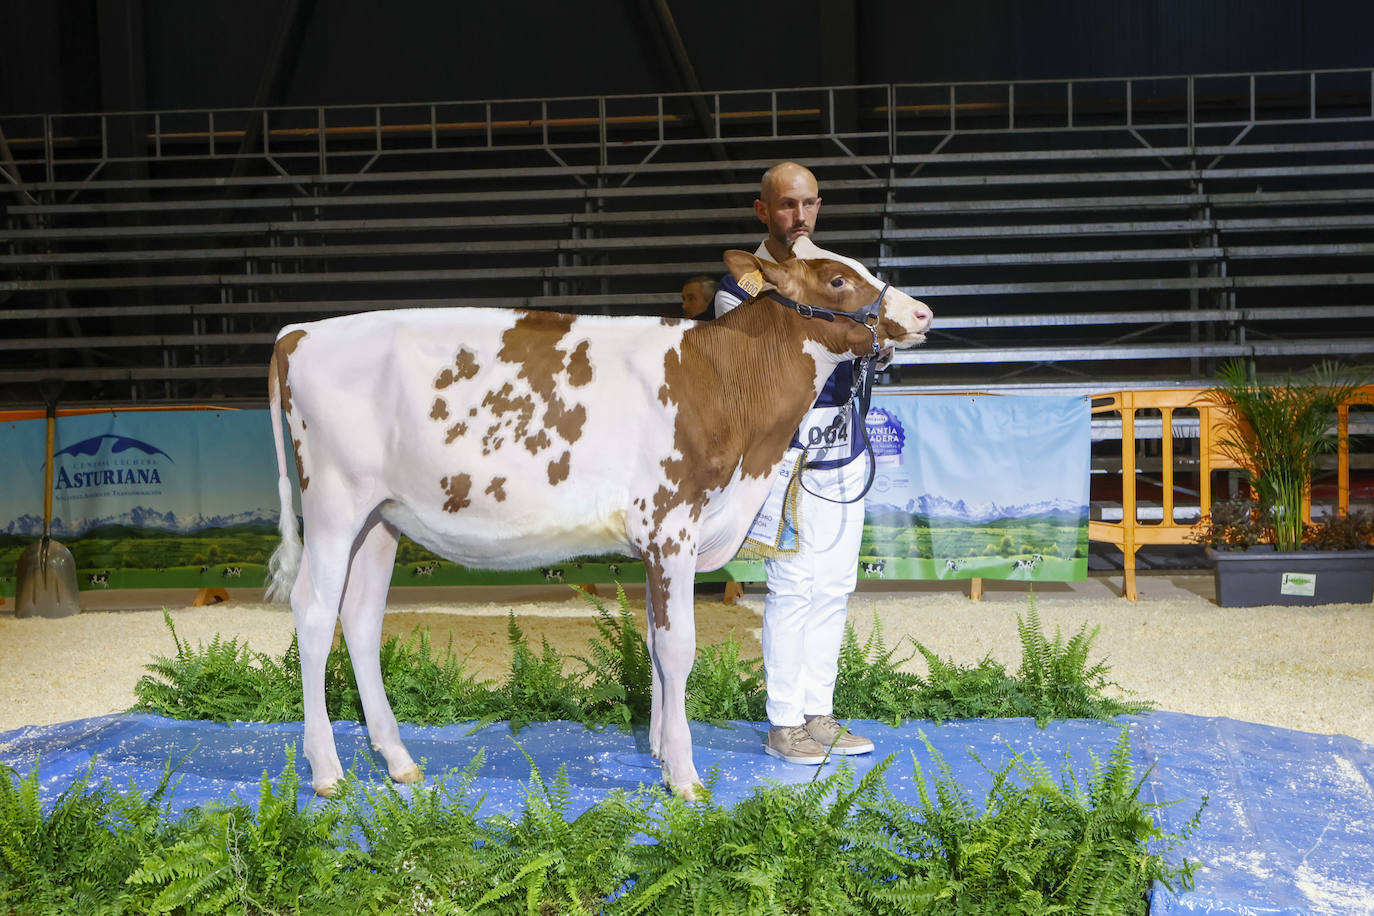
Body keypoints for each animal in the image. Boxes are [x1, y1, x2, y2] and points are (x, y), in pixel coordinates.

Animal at [265, 247, 934, 796]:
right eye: (839, 278)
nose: (923, 312)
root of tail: (299, 332)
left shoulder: (660, 541)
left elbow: (657, 645)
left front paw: (661, 753)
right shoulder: (671, 525)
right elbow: (679, 647)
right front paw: (685, 777)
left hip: (381, 519)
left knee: (360, 618)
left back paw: (400, 761)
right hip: (334, 506)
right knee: (315, 612)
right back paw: (327, 771)